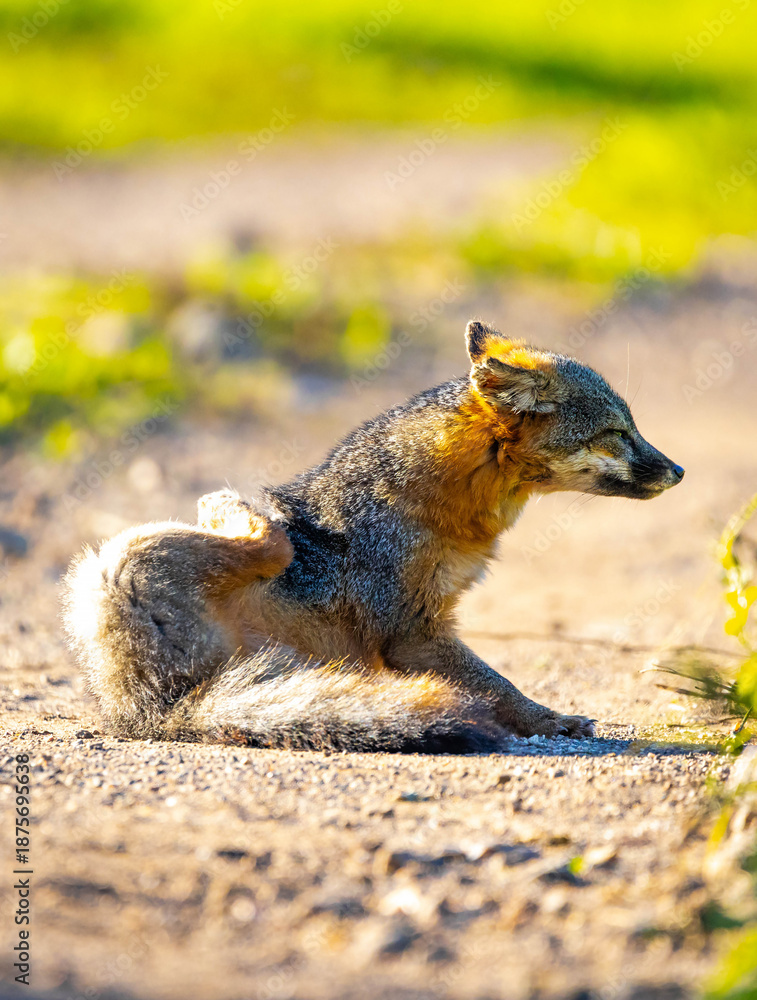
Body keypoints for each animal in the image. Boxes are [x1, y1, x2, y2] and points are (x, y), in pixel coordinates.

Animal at [63, 321, 685, 753]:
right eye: (616, 434)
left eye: (633, 428)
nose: (679, 471)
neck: (431, 503)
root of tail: (154, 712)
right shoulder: (409, 630)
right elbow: (500, 685)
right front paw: (550, 720)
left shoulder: (428, 623)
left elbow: (495, 683)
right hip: (131, 552)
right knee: (274, 541)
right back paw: (228, 503)